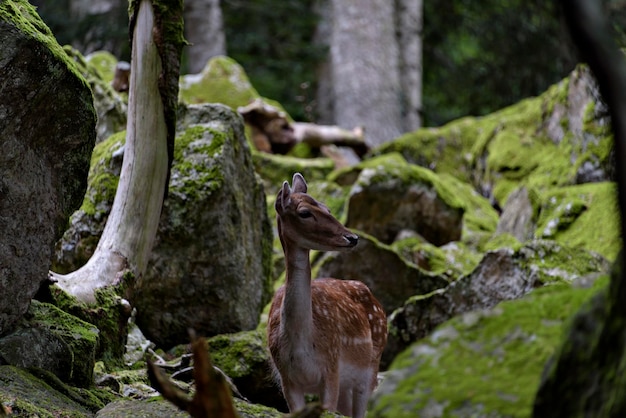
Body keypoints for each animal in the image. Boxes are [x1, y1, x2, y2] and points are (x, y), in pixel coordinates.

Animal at [266, 171, 388, 416]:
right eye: (304, 212)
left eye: (328, 208)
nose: (352, 238)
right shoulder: (286, 378)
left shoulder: (331, 366)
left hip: (371, 367)